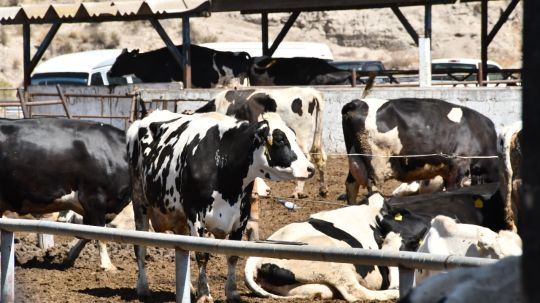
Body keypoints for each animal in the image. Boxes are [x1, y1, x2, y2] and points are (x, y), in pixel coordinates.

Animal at [127, 108, 314, 302]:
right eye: (279, 139)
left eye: (293, 136)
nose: (310, 168)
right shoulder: (195, 214)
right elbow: (202, 255)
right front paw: (204, 294)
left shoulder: (242, 215)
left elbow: (232, 255)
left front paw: (232, 292)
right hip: (139, 202)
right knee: (140, 248)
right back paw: (143, 288)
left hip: (179, 217)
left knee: (182, 248)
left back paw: (189, 288)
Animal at [342, 98, 498, 205]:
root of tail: (356, 103)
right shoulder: (459, 164)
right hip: (376, 164)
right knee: (374, 191)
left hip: (354, 160)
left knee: (351, 185)